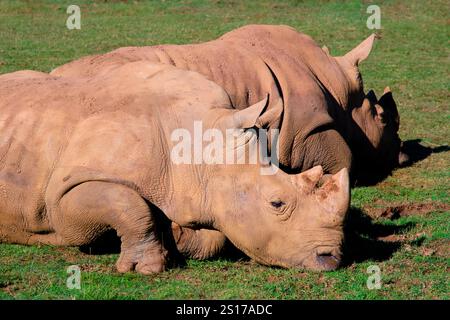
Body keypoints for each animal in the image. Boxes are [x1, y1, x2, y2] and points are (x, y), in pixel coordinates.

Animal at [0, 62, 350, 272]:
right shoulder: (64, 192)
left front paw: (175, 238)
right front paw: (147, 267)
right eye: (276, 204)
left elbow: (212, 237)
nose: (331, 259)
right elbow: (128, 206)